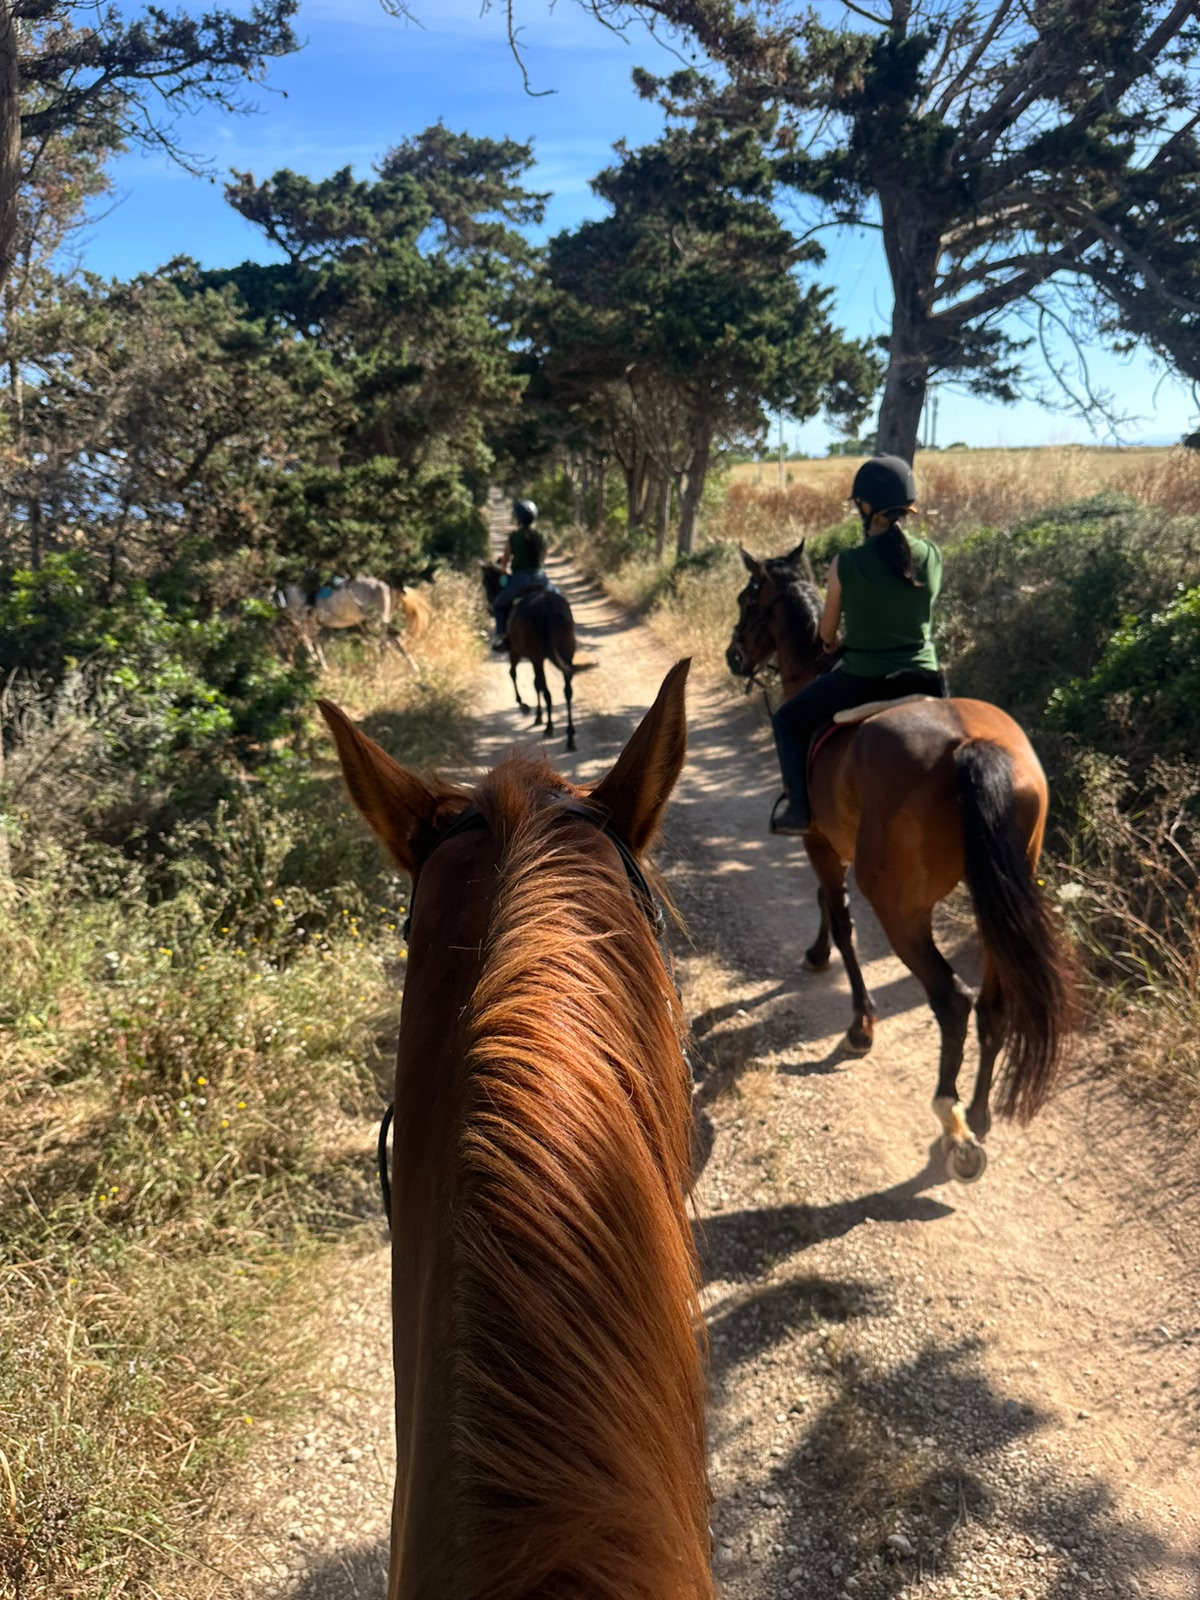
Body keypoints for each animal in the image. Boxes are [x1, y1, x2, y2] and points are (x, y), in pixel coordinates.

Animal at [481, 563, 578, 752]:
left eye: (485, 583)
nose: (489, 608)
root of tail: (547, 608)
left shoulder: (516, 652)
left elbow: (514, 674)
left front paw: (524, 705)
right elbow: (535, 684)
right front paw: (538, 716)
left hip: (536, 655)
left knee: (546, 690)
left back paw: (549, 727)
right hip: (566, 652)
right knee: (567, 690)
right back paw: (570, 736)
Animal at [726, 543, 1077, 1182]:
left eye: (748, 600)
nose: (733, 655)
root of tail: (969, 745)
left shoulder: (817, 840)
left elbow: (840, 917)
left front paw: (859, 1024)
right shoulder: (832, 840)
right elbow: (826, 904)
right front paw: (815, 955)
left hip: (902, 909)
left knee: (952, 1000)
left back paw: (954, 1124)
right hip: (997, 902)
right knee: (993, 1005)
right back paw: (980, 1114)